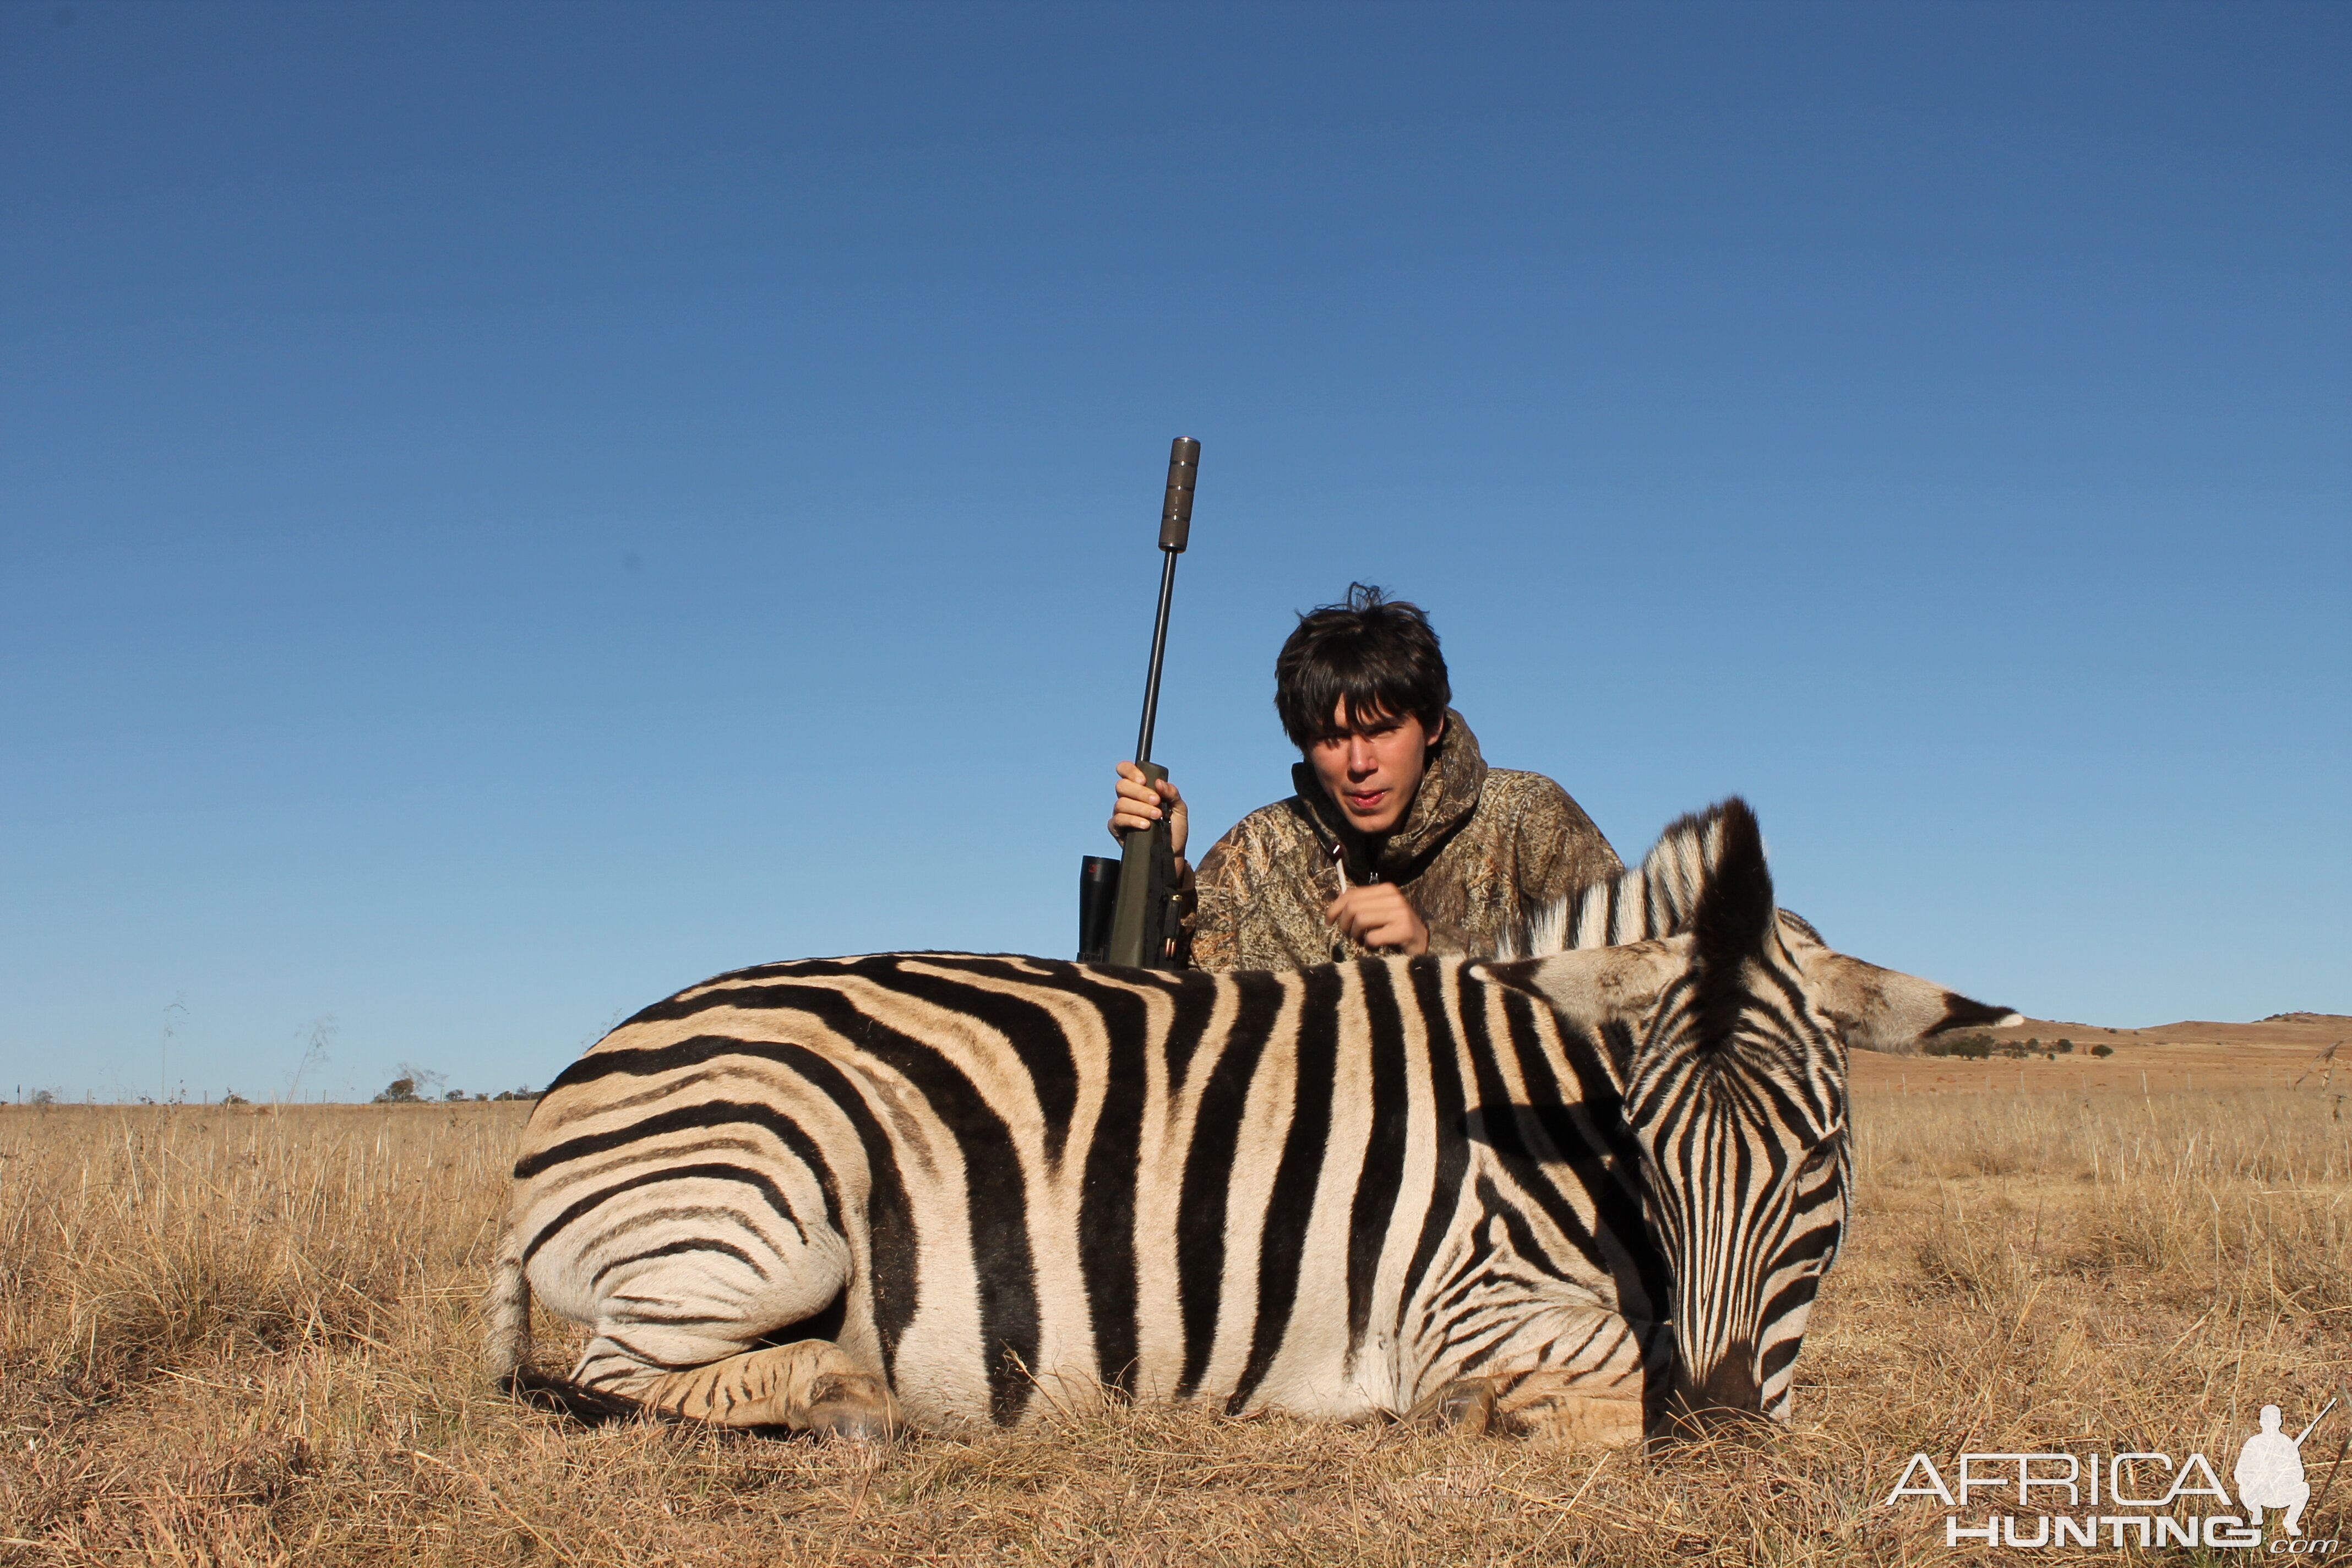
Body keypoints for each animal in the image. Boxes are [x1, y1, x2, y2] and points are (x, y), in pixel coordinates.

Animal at [487, 804, 2013, 1439]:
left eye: (1819, 1157)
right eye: (1645, 1147)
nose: (1716, 1434)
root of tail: (571, 1083)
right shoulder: (1462, 1300)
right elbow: (1592, 1371)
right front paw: (1483, 1413)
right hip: (764, 1214)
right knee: (626, 1368)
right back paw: (847, 1398)